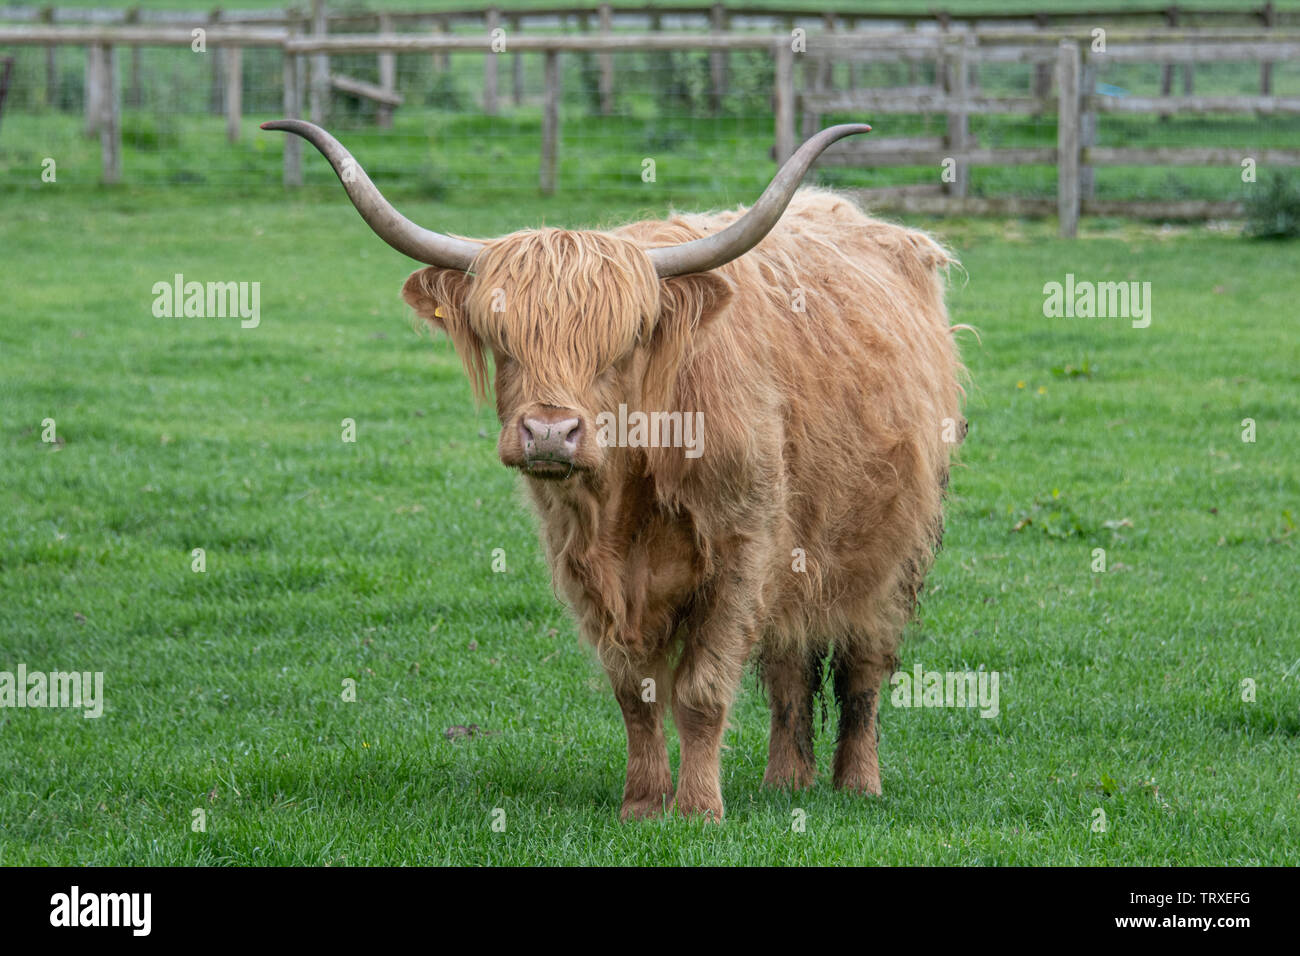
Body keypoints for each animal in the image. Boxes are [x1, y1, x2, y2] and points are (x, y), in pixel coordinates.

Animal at [263, 119, 967, 822]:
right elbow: (636, 693)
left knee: (863, 667)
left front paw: (698, 809)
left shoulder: (744, 548)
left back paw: (859, 783)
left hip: (889, 554)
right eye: (502, 340)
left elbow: (702, 690)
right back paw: (785, 781)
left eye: (622, 344)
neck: (628, 491)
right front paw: (643, 804)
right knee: (789, 667)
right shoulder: (583, 562)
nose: (550, 432)